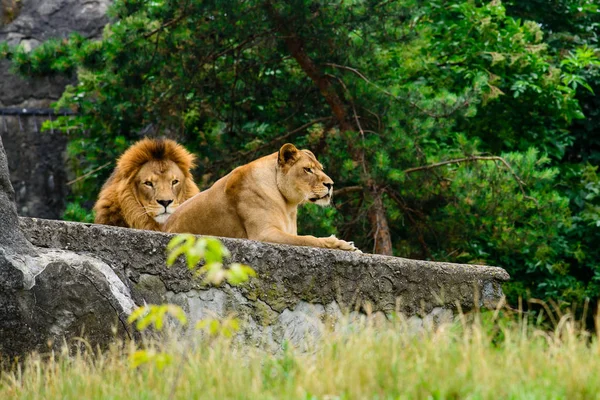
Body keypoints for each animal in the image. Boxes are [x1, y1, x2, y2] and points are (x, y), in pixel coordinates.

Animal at [164, 142, 358, 252]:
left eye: (320, 168)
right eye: (308, 169)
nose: (331, 184)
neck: (288, 205)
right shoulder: (264, 234)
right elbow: (307, 239)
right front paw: (341, 243)